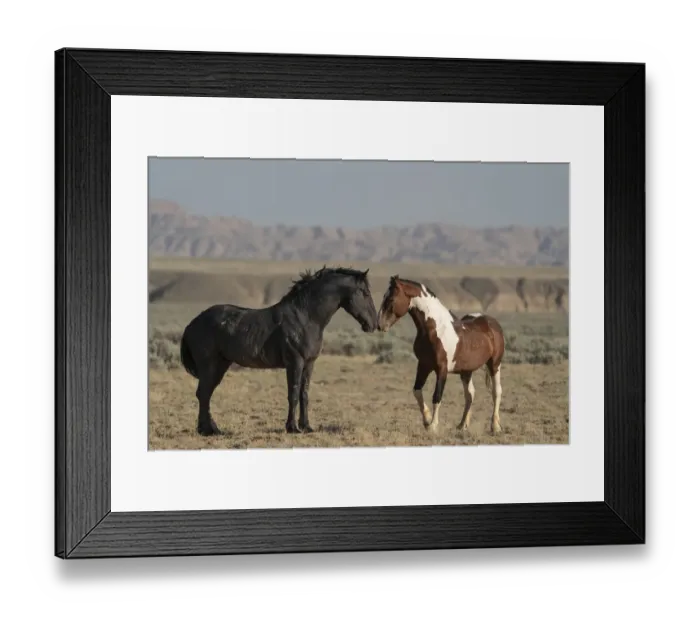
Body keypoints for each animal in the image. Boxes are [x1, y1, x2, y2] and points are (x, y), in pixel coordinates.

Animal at [179, 266, 379, 436]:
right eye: (366, 293)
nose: (373, 324)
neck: (306, 317)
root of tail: (192, 324)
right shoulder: (295, 362)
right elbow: (293, 394)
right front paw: (292, 428)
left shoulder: (309, 364)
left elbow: (304, 394)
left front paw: (306, 426)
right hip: (210, 365)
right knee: (203, 393)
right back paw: (207, 430)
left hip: (221, 364)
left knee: (206, 393)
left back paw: (211, 429)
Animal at [377, 275, 506, 435]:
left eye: (391, 299)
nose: (380, 325)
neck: (434, 330)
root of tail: (492, 322)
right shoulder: (423, 366)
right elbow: (417, 391)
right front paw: (426, 420)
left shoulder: (442, 370)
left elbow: (437, 396)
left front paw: (433, 426)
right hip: (466, 371)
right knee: (470, 394)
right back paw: (462, 425)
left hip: (495, 364)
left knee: (496, 392)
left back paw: (495, 426)